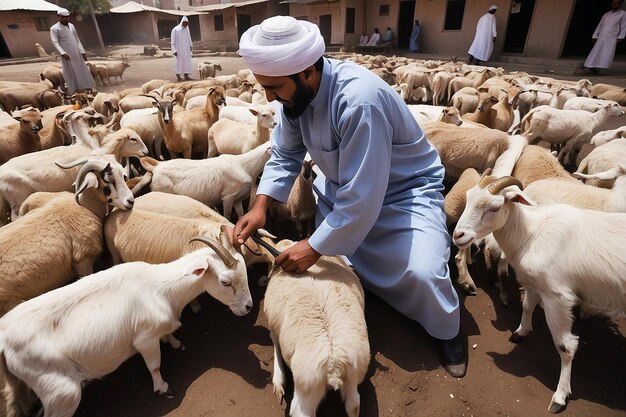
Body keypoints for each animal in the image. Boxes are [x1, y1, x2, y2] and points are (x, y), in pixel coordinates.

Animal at [0, 231, 252, 417]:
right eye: (225, 282)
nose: (248, 307)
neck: (161, 287)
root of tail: (4, 337)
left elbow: (168, 336)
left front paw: (175, 342)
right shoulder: (145, 339)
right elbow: (154, 365)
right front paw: (163, 388)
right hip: (62, 394)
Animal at [133, 141, 270, 219]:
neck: (246, 166)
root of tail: (156, 167)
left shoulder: (237, 199)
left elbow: (241, 215)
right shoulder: (228, 197)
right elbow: (227, 216)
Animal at [260, 237, 368, 416]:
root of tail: (334, 364)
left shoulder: (273, 322)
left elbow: (273, 339)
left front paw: (278, 381)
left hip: (307, 390)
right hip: (354, 373)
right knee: (354, 404)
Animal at [450, 173, 624, 412]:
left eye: (495, 207)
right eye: (467, 198)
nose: (458, 235)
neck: (532, 235)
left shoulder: (557, 297)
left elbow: (566, 346)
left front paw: (560, 396)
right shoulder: (535, 284)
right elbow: (526, 306)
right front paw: (520, 333)